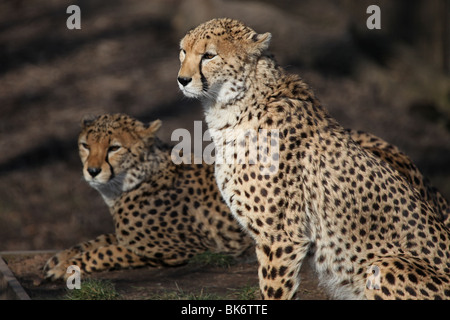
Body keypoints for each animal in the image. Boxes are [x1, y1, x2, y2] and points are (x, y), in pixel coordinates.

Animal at [44, 114, 255, 282]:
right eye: (85, 145)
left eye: (114, 148)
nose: (92, 171)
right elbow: (101, 239)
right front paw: (61, 258)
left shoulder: (182, 250)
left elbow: (107, 251)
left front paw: (67, 267)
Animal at [177, 18, 450, 300]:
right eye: (183, 51)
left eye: (209, 55)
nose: (182, 80)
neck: (233, 109)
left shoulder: (281, 237)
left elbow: (274, 291)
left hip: (383, 266)